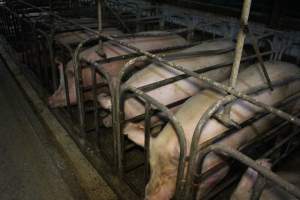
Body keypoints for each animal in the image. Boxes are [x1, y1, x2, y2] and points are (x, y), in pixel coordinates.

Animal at [145, 61, 300, 200]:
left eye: (171, 173)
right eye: (151, 166)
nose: (149, 196)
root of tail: (294, 66)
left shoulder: (216, 162)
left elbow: (211, 181)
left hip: (292, 110)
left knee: (284, 133)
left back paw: (272, 158)